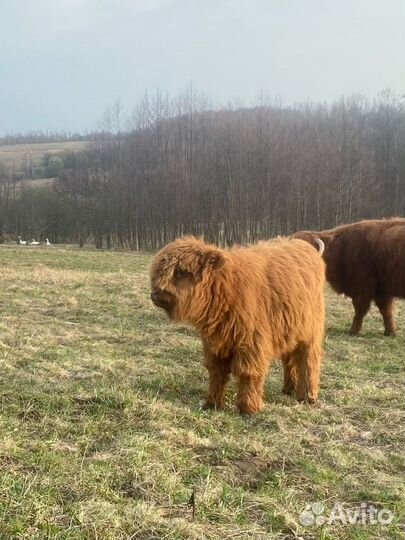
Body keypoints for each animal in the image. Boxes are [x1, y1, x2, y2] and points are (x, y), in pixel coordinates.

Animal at [150, 235, 324, 414]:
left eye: (181, 272)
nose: (155, 294)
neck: (226, 289)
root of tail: (305, 246)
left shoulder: (251, 342)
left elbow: (249, 373)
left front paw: (248, 408)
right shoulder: (215, 344)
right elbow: (216, 372)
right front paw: (212, 403)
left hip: (311, 330)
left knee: (308, 360)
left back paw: (307, 397)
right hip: (290, 328)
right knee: (289, 358)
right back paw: (289, 388)